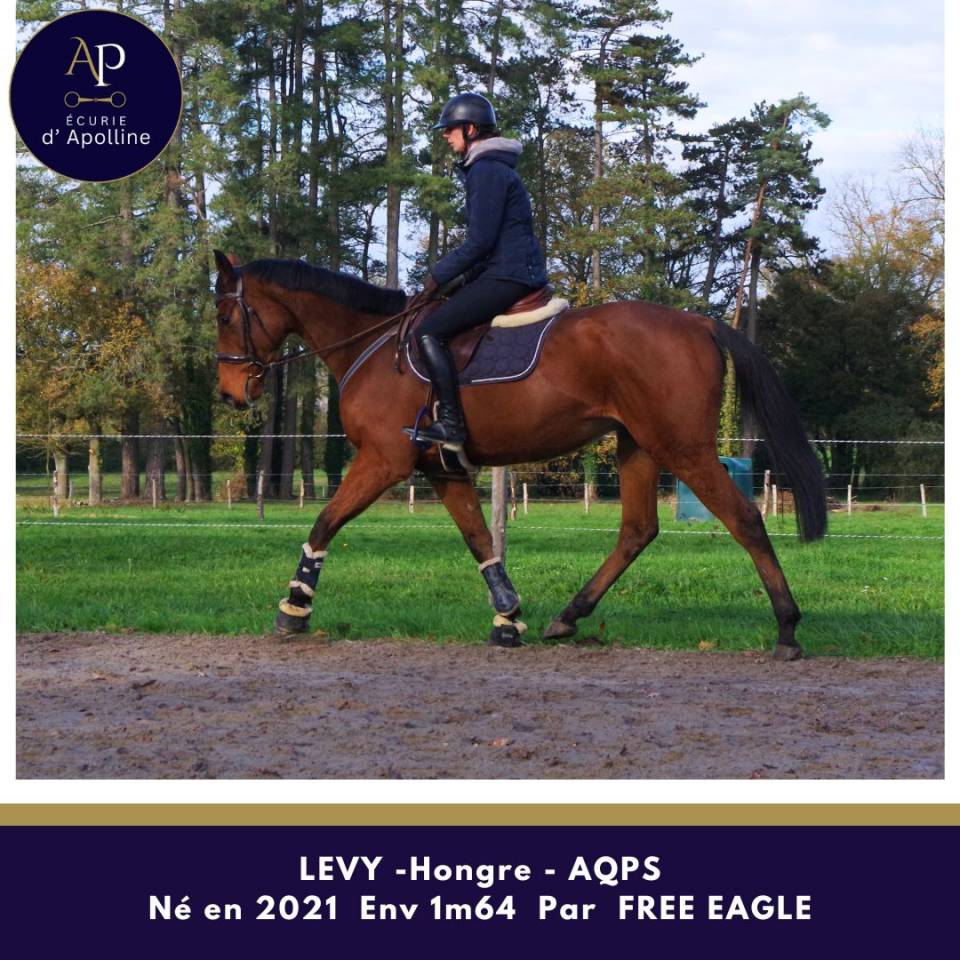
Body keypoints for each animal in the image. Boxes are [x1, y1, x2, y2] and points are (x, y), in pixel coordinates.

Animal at [213, 250, 826, 659]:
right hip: (638, 445)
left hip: (684, 447)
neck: (372, 341)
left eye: (224, 315)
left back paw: (787, 629)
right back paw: (567, 618)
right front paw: (508, 617)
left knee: (744, 520)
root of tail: (699, 320)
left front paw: (294, 608)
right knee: (636, 531)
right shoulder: (441, 471)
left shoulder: (384, 461)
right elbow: (481, 541)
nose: (230, 393)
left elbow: (324, 522)